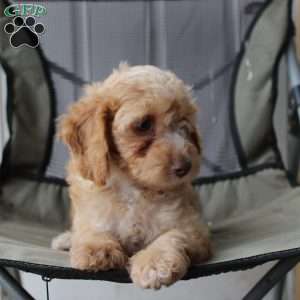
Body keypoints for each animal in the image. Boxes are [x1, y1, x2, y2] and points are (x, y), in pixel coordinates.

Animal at [54, 63, 213, 288]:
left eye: (184, 123)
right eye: (144, 124)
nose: (186, 166)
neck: (132, 186)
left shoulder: (192, 227)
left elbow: (172, 235)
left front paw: (155, 263)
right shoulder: (91, 210)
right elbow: (91, 228)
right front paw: (97, 248)